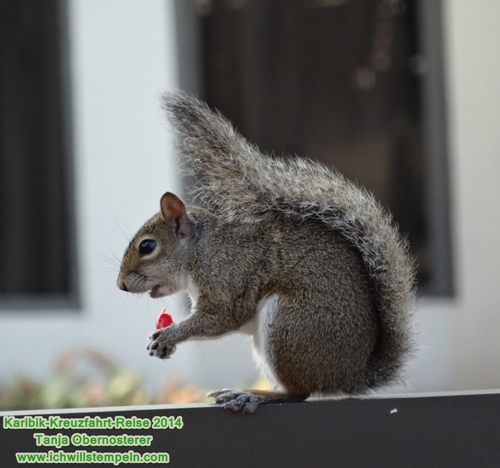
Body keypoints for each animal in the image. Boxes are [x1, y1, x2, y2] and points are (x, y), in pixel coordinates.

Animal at [116, 91, 414, 414]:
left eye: (147, 246)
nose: (121, 285)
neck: (201, 251)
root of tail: (352, 374)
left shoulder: (227, 280)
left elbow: (220, 318)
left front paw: (169, 336)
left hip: (290, 325)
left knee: (298, 392)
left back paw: (252, 395)